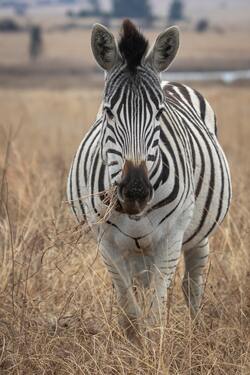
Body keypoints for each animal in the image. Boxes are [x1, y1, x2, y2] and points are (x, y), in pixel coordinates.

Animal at [67, 18, 231, 334]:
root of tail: (170, 80)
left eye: (159, 113)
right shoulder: (107, 244)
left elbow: (155, 318)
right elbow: (130, 315)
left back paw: (195, 334)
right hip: (136, 252)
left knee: (193, 285)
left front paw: (153, 347)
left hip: (196, 235)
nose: (135, 192)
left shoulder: (170, 241)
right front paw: (133, 346)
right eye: (108, 113)